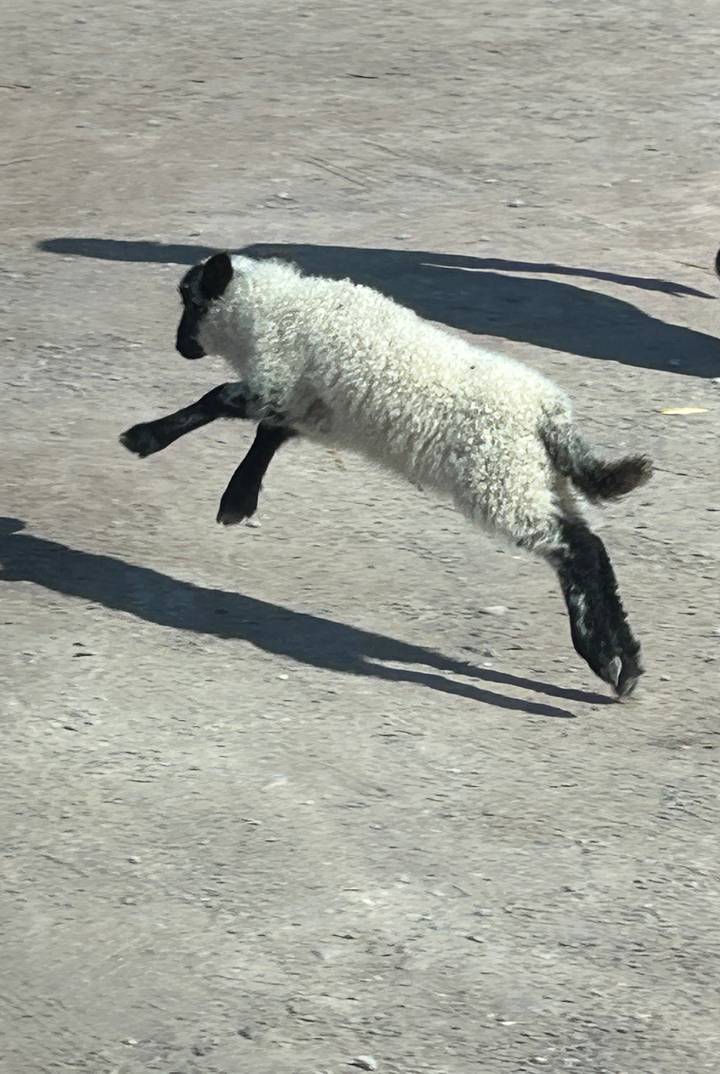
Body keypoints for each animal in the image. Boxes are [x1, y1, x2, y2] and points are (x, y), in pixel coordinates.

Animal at [121, 251, 652, 698]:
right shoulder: (307, 404)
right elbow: (268, 435)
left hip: (499, 480)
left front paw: (145, 437)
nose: (180, 346)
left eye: (190, 302)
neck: (274, 306)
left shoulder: (279, 381)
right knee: (589, 547)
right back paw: (623, 662)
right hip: (535, 479)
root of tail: (549, 415)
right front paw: (237, 499)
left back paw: (603, 657)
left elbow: (219, 399)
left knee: (574, 549)